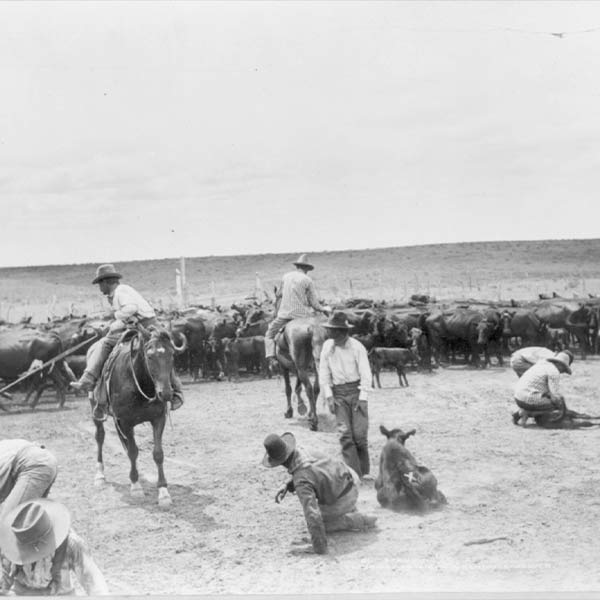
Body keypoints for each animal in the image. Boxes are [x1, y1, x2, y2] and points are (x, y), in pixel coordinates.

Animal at [91, 326, 184, 508]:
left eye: (172, 355)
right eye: (150, 356)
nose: (166, 393)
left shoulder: (158, 419)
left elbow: (158, 453)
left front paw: (163, 493)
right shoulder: (125, 422)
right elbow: (133, 452)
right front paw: (135, 487)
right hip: (97, 410)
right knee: (100, 437)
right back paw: (99, 475)